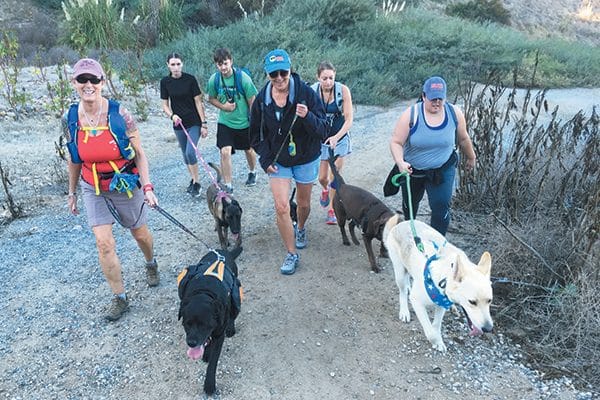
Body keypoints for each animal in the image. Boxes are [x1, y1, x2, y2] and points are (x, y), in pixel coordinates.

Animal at [178, 247, 244, 396]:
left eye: (204, 325)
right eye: (187, 323)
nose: (191, 343)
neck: (204, 292)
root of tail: (224, 252)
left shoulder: (219, 334)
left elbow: (213, 363)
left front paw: (209, 385)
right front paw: (206, 352)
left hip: (236, 296)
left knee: (233, 313)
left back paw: (230, 329)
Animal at [384, 217, 492, 352]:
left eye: (489, 301)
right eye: (472, 302)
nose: (488, 329)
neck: (443, 279)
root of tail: (401, 224)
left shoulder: (442, 304)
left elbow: (436, 325)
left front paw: (438, 341)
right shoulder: (417, 301)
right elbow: (430, 332)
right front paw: (435, 341)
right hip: (399, 272)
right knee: (402, 291)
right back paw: (404, 311)